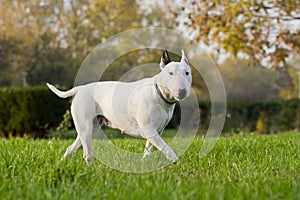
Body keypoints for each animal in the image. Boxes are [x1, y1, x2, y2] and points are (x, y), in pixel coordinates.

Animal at [47, 49, 192, 163]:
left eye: (187, 73)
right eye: (170, 73)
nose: (182, 91)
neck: (159, 94)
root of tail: (81, 88)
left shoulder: (157, 131)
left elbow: (149, 149)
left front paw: (144, 163)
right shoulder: (149, 130)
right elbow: (167, 148)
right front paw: (177, 162)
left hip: (91, 127)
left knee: (71, 148)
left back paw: (62, 163)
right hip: (85, 127)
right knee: (87, 154)